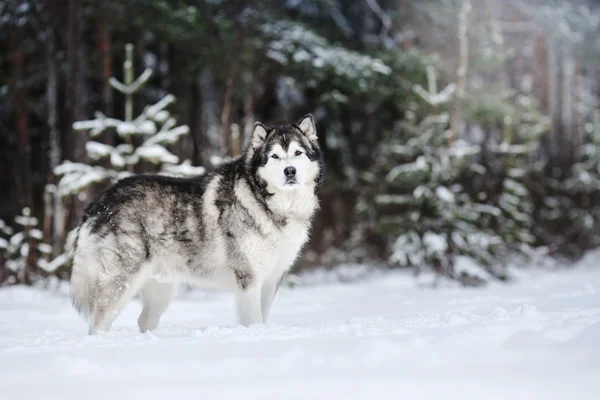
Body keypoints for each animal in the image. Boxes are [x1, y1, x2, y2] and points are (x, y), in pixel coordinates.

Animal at [70, 114, 324, 332]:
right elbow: (253, 320)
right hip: (121, 283)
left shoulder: (271, 279)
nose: (289, 171)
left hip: (161, 290)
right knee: (98, 324)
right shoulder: (248, 279)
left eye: (298, 153)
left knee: (143, 321)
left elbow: (263, 316)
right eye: (274, 156)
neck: (270, 205)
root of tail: (100, 201)